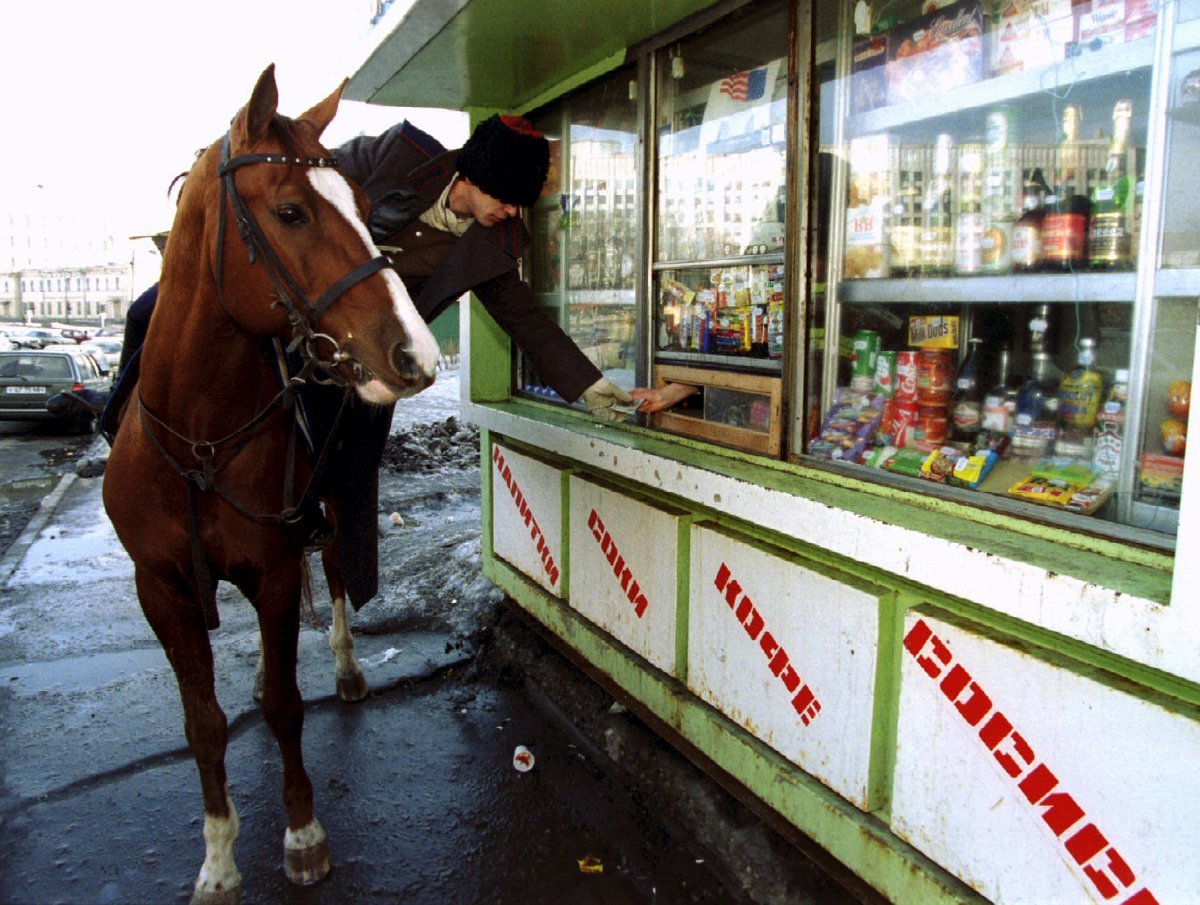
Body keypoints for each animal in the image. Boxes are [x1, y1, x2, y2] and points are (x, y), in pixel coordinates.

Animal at [98, 66, 436, 897]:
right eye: (290, 211)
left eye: (365, 206)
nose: (416, 354)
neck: (201, 433)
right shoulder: (161, 587)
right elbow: (204, 723)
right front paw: (219, 857)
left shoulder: (278, 567)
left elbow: (287, 707)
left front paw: (302, 832)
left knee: (337, 571)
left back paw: (345, 664)